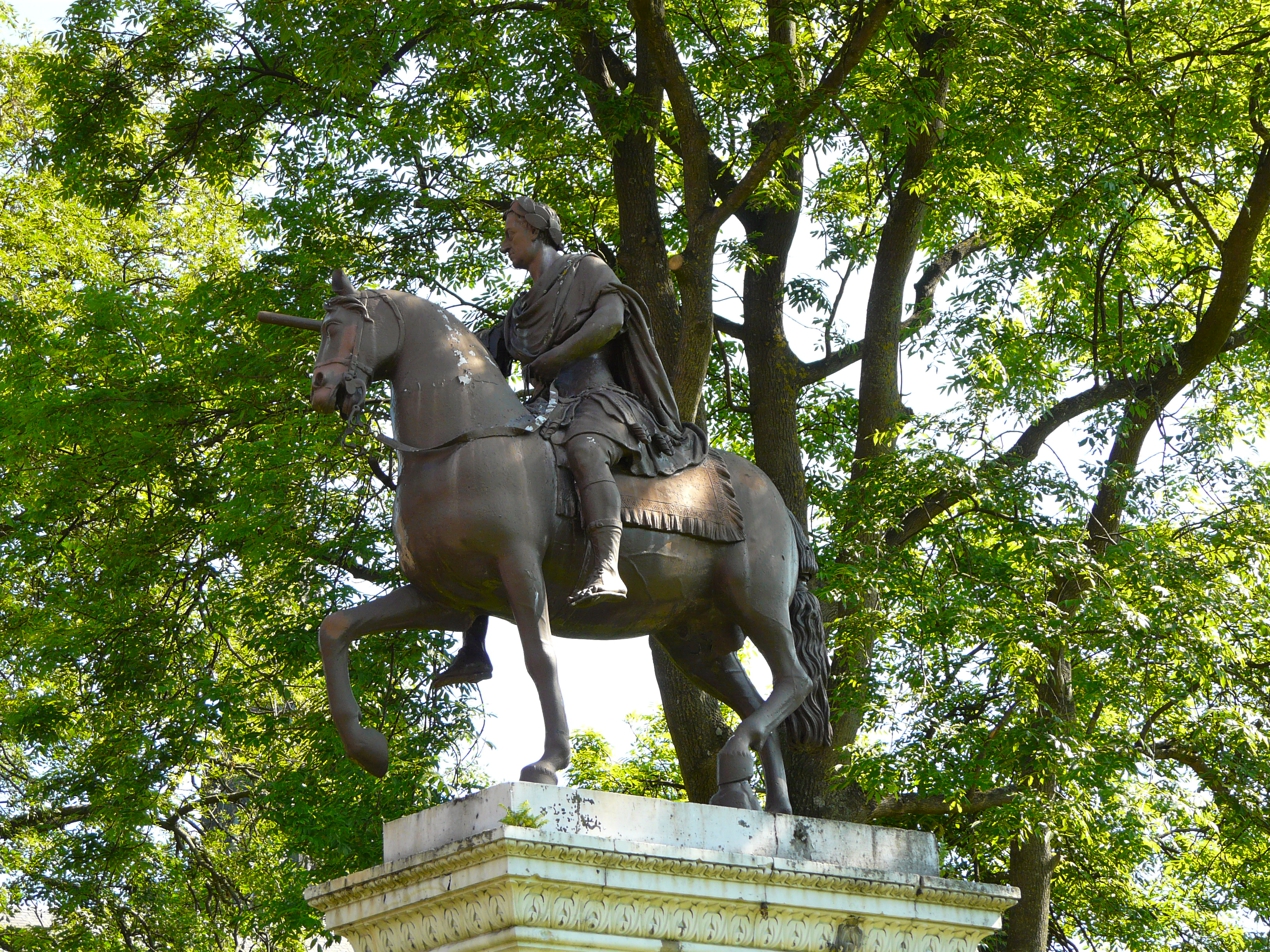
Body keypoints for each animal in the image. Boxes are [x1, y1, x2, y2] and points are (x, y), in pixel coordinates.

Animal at [279, 269, 828, 812]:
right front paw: (369, 749)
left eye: (341, 327)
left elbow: (540, 657)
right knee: (758, 699)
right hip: (696, 637)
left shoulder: (519, 567)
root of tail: (775, 499)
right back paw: (760, 801)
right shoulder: (444, 597)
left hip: (755, 601)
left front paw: (547, 763)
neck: (464, 445)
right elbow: (335, 628)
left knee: (794, 680)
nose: (323, 390)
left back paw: (742, 772)